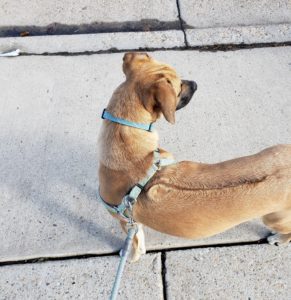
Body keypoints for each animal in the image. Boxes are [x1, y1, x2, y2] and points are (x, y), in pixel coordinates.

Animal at [98, 52, 291, 262]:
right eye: (178, 88)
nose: (196, 83)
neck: (126, 135)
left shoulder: (127, 222)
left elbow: (135, 245)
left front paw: (129, 256)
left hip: (274, 218)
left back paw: (279, 238)